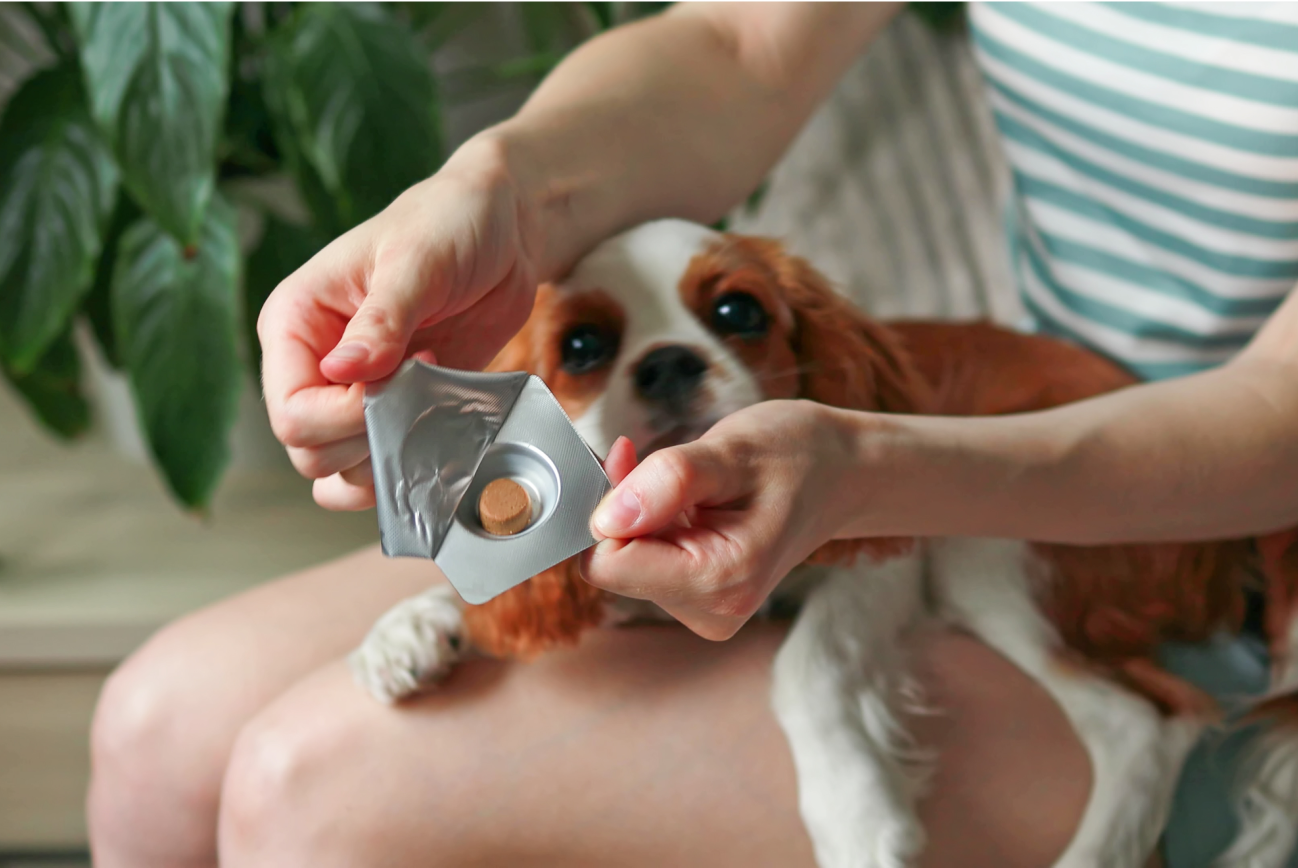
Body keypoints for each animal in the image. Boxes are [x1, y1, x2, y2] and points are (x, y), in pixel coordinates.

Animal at [345, 217, 1298, 866]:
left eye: (739, 310)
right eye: (581, 345)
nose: (666, 363)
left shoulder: (886, 559)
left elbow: (804, 666)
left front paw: (856, 814)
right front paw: (409, 627)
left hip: (990, 541)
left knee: (1146, 723)